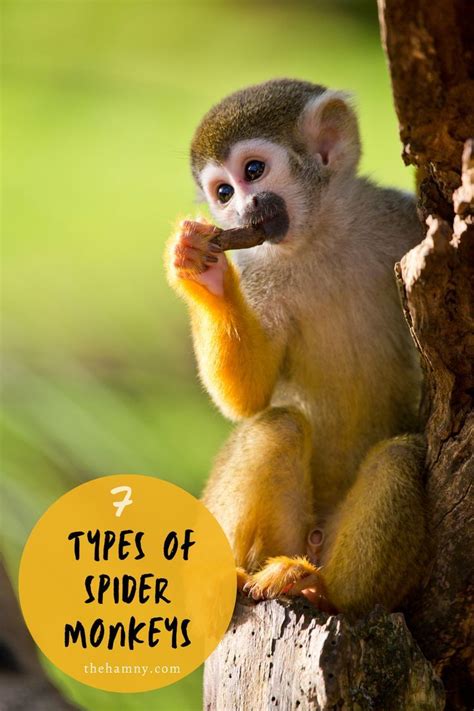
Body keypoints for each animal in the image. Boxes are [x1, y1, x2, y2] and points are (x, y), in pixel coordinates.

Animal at [165, 78, 426, 616]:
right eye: (223, 193)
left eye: (253, 171)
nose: (240, 209)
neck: (320, 236)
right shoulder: (257, 266)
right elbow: (248, 397)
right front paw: (202, 272)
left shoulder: (398, 218)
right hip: (281, 536)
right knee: (277, 426)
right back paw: (227, 581)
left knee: (401, 456)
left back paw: (323, 588)